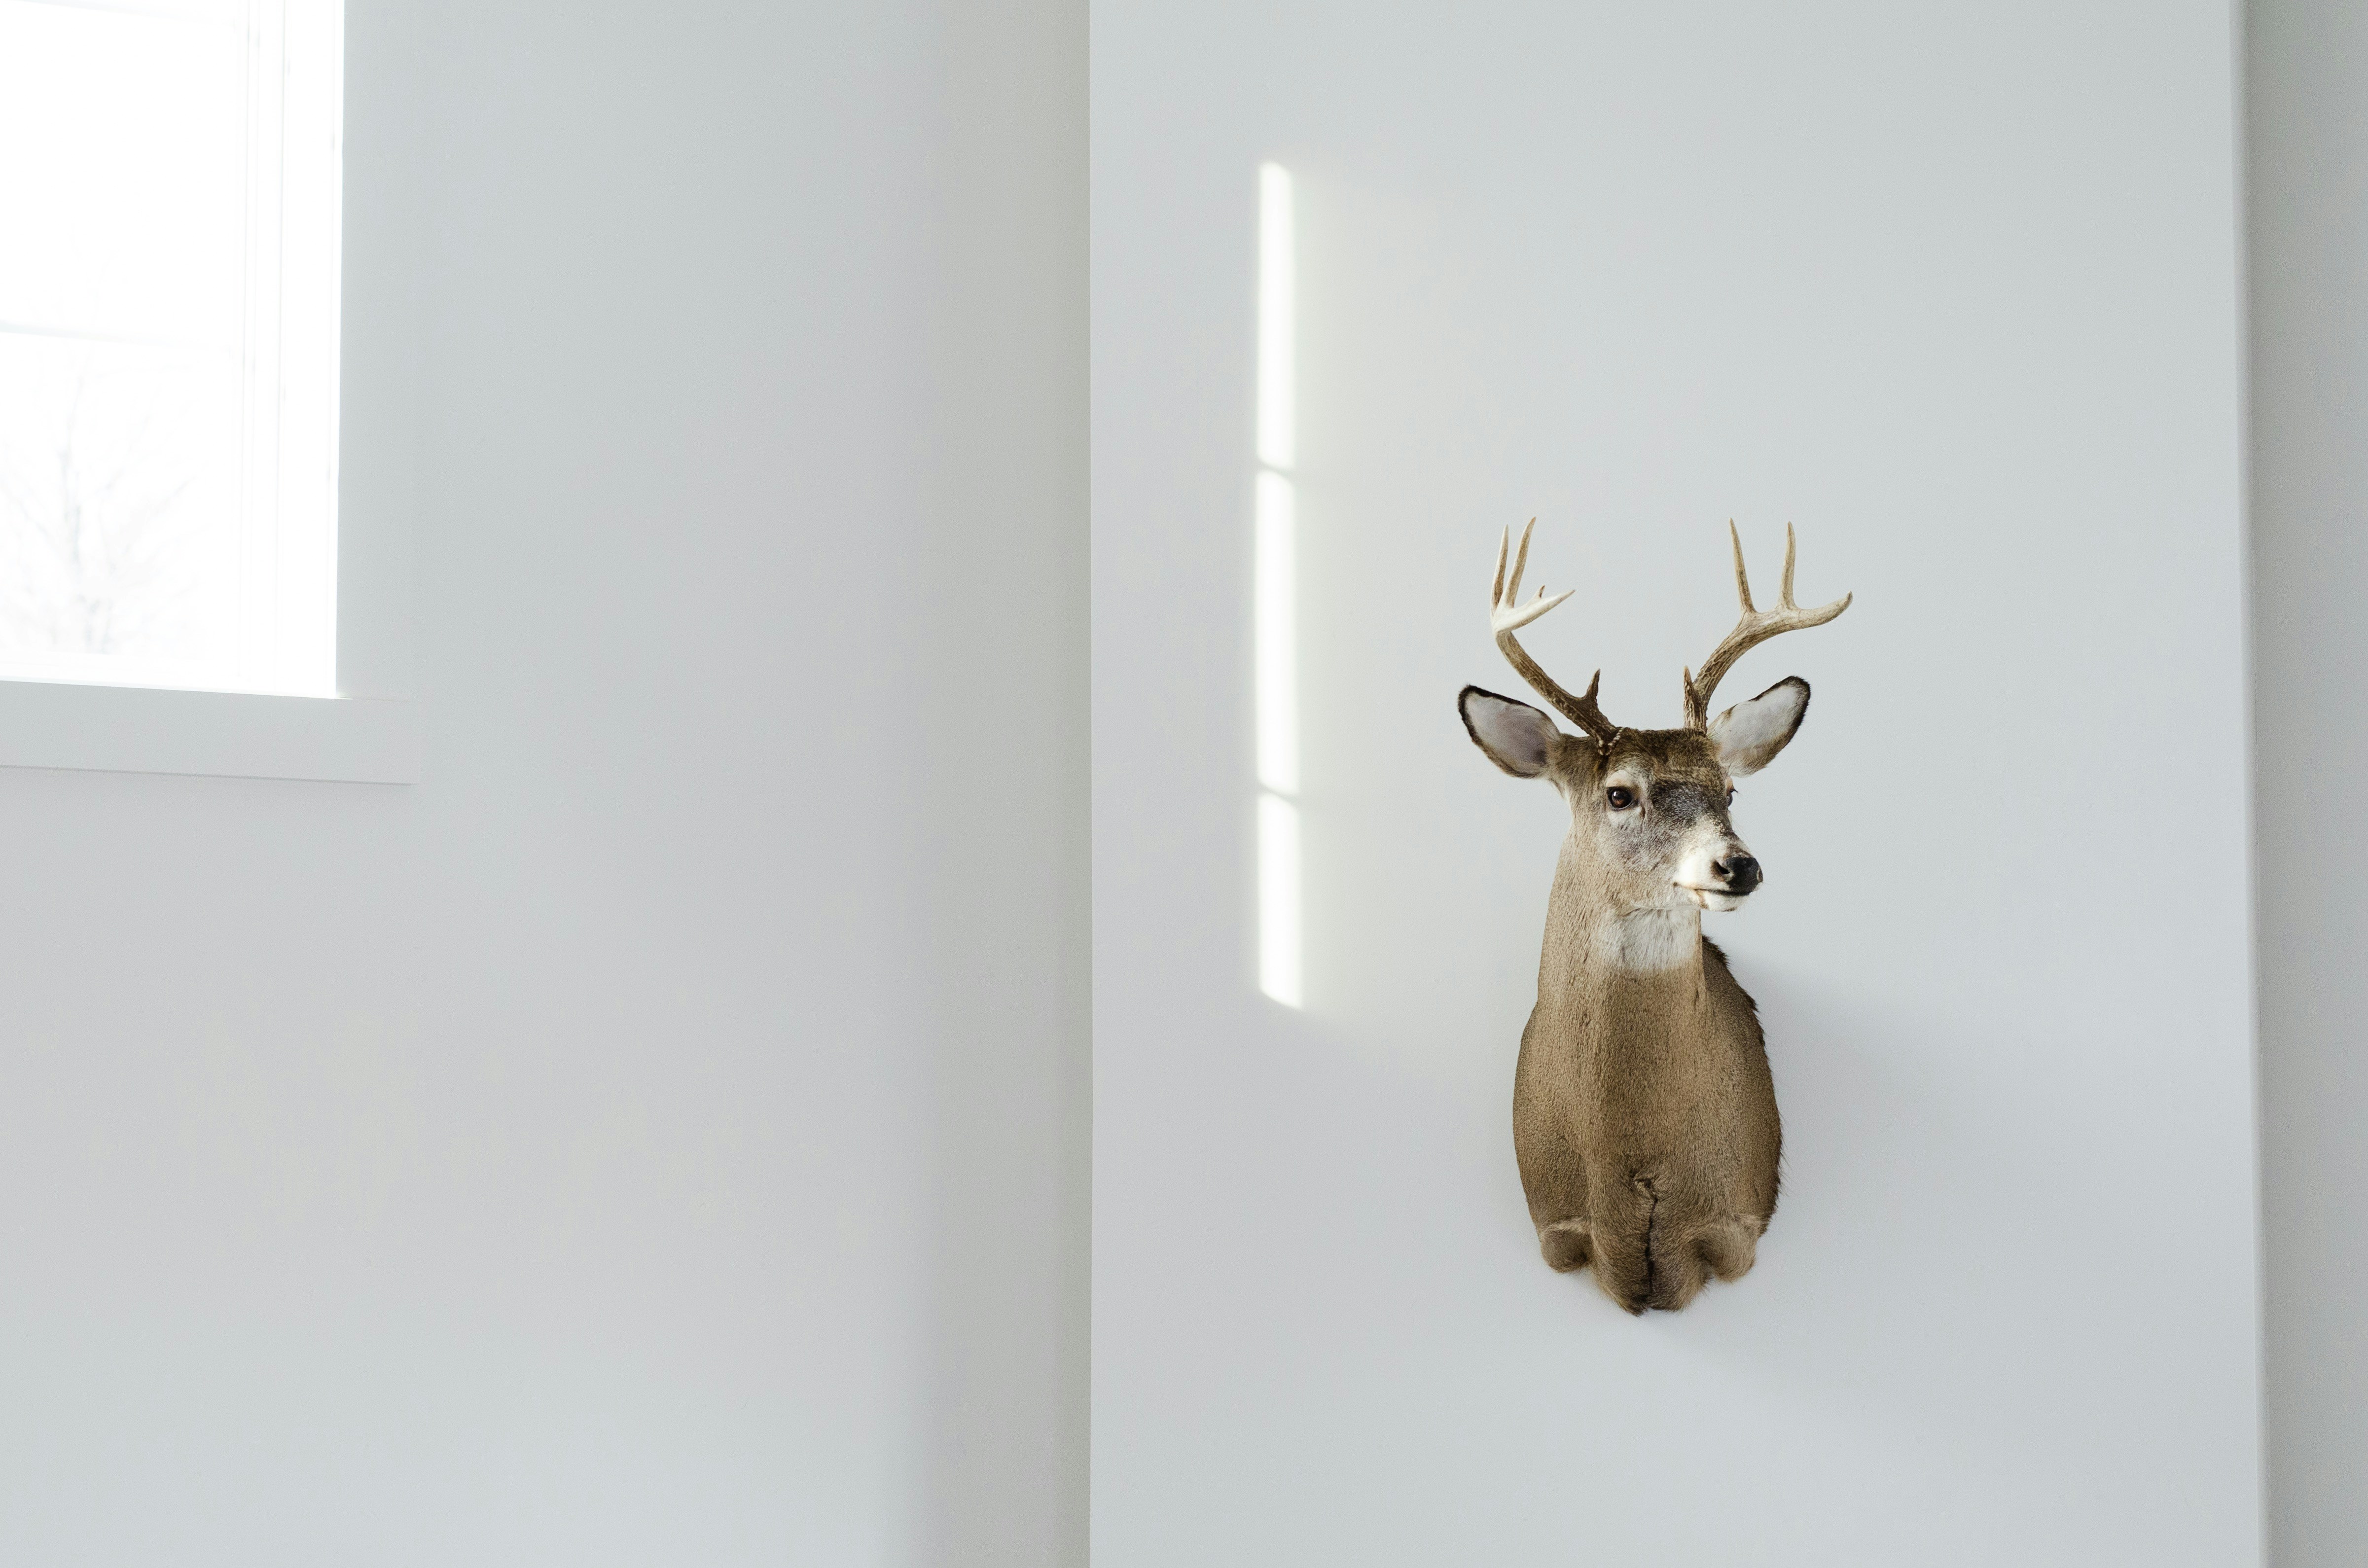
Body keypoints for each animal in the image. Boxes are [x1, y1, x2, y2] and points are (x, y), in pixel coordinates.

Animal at [1457, 519, 1850, 1314]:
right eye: (1618, 793)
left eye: (1728, 790)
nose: (1737, 866)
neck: (1626, 1150)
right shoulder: (1556, 1228)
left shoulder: (1733, 1222)